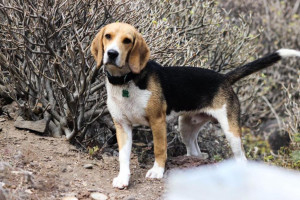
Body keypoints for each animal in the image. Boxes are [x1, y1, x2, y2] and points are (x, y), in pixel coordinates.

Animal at [91, 22, 300, 189]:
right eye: (108, 36)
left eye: (127, 40)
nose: (112, 53)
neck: (126, 81)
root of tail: (223, 78)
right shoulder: (122, 126)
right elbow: (123, 157)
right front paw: (123, 178)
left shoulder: (157, 122)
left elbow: (160, 149)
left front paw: (157, 171)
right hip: (186, 127)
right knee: (195, 152)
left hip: (231, 131)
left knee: (242, 159)